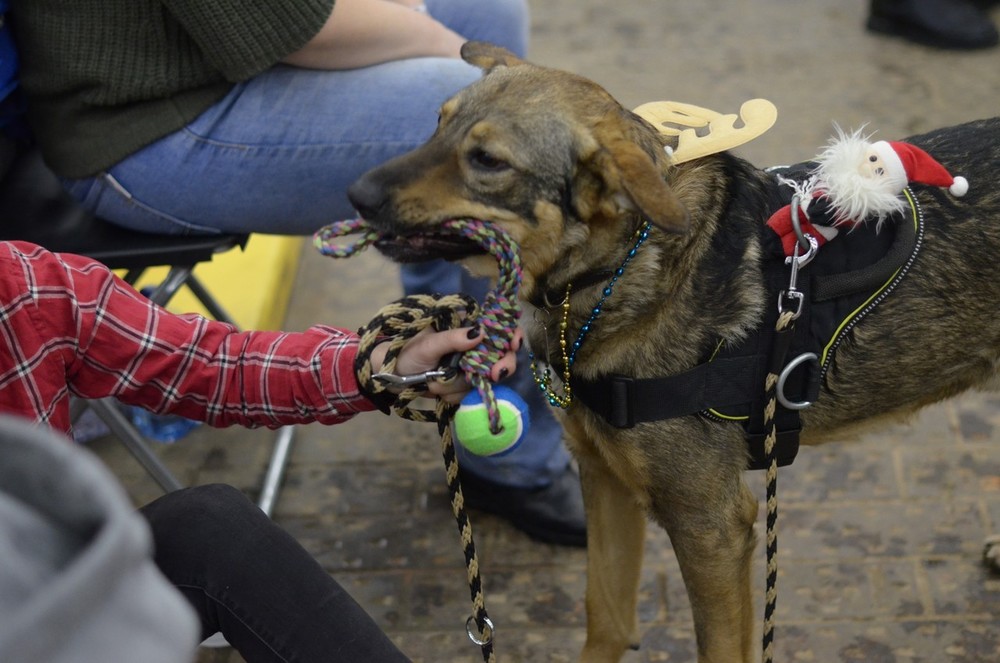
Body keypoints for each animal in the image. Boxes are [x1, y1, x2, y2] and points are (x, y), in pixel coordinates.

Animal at [346, 42, 1000, 663]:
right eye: (437, 124)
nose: (356, 194)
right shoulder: (603, 478)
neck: (620, 270)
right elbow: (606, 616)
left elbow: (718, 648)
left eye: (487, 161)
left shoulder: (712, 525)